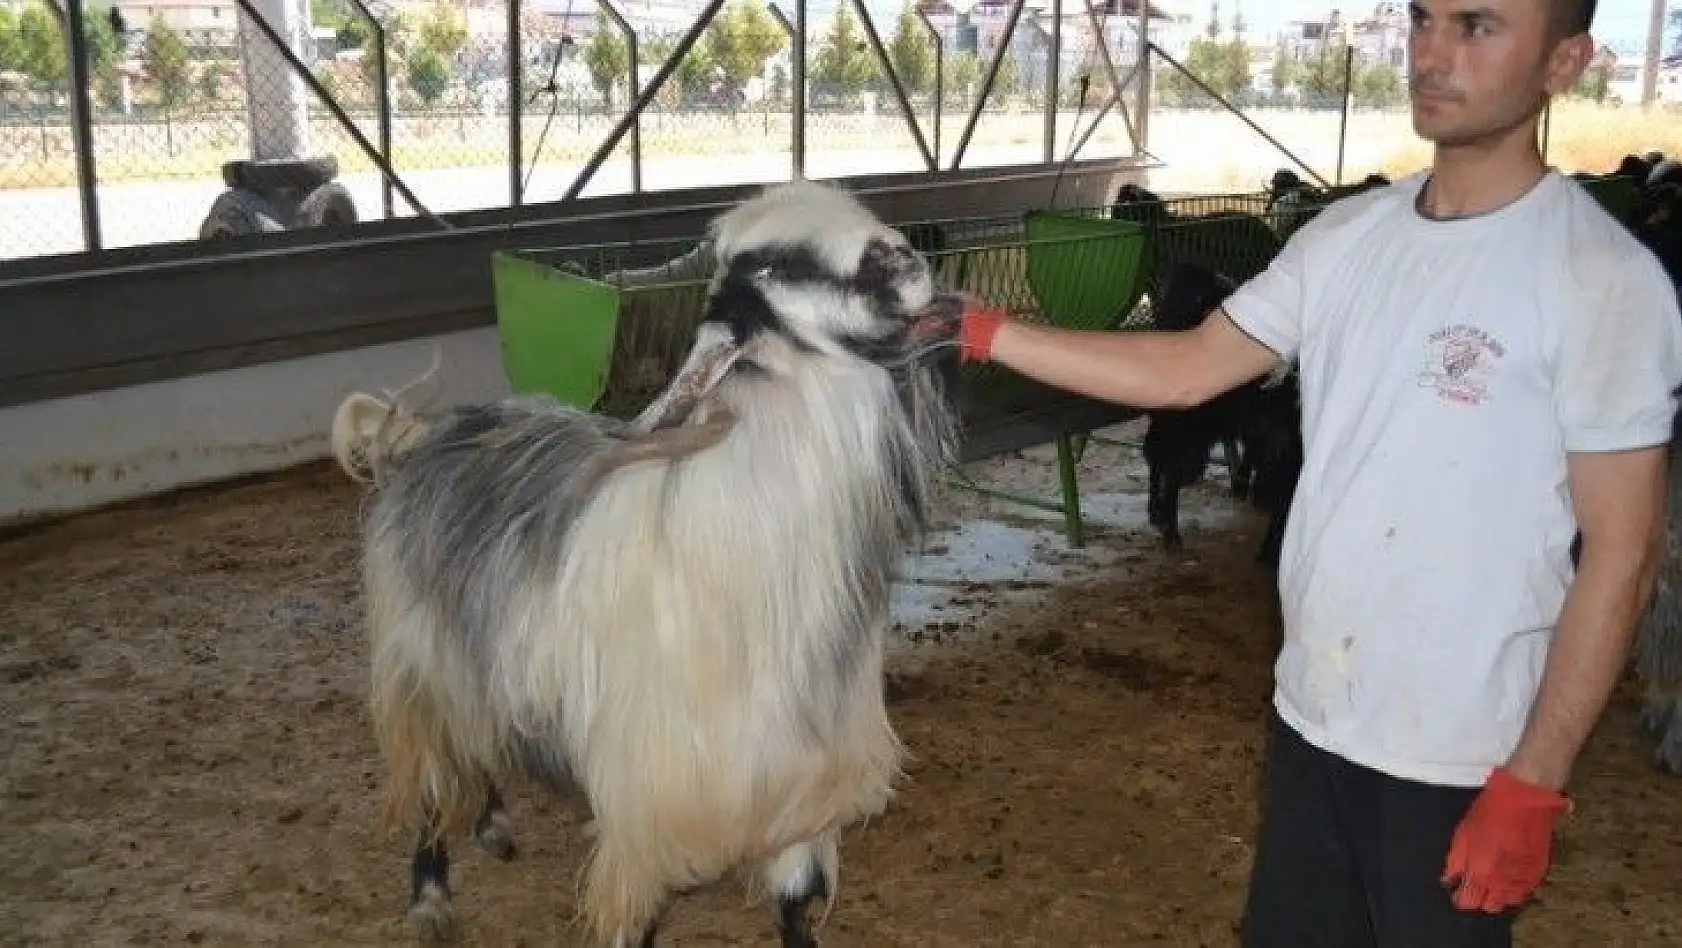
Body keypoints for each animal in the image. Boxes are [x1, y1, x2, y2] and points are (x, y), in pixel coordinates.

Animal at [327, 179, 968, 948]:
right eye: (770, 268)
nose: (906, 257)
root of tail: (431, 430)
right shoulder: (650, 808)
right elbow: (638, 923)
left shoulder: (796, 790)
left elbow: (794, 903)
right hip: (422, 670)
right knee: (433, 781)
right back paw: (430, 894)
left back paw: (493, 825)